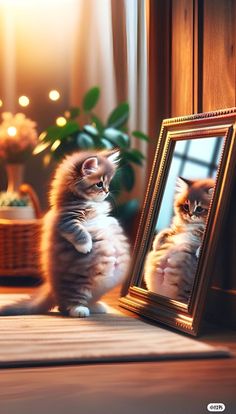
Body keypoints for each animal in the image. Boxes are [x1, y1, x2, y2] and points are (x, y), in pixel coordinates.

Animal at [0, 149, 130, 316]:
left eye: (108, 183)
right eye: (99, 184)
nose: (107, 191)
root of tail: (53, 290)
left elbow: (110, 222)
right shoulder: (65, 219)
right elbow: (77, 230)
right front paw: (85, 246)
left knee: (82, 301)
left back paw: (98, 307)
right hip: (78, 281)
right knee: (66, 304)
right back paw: (79, 310)